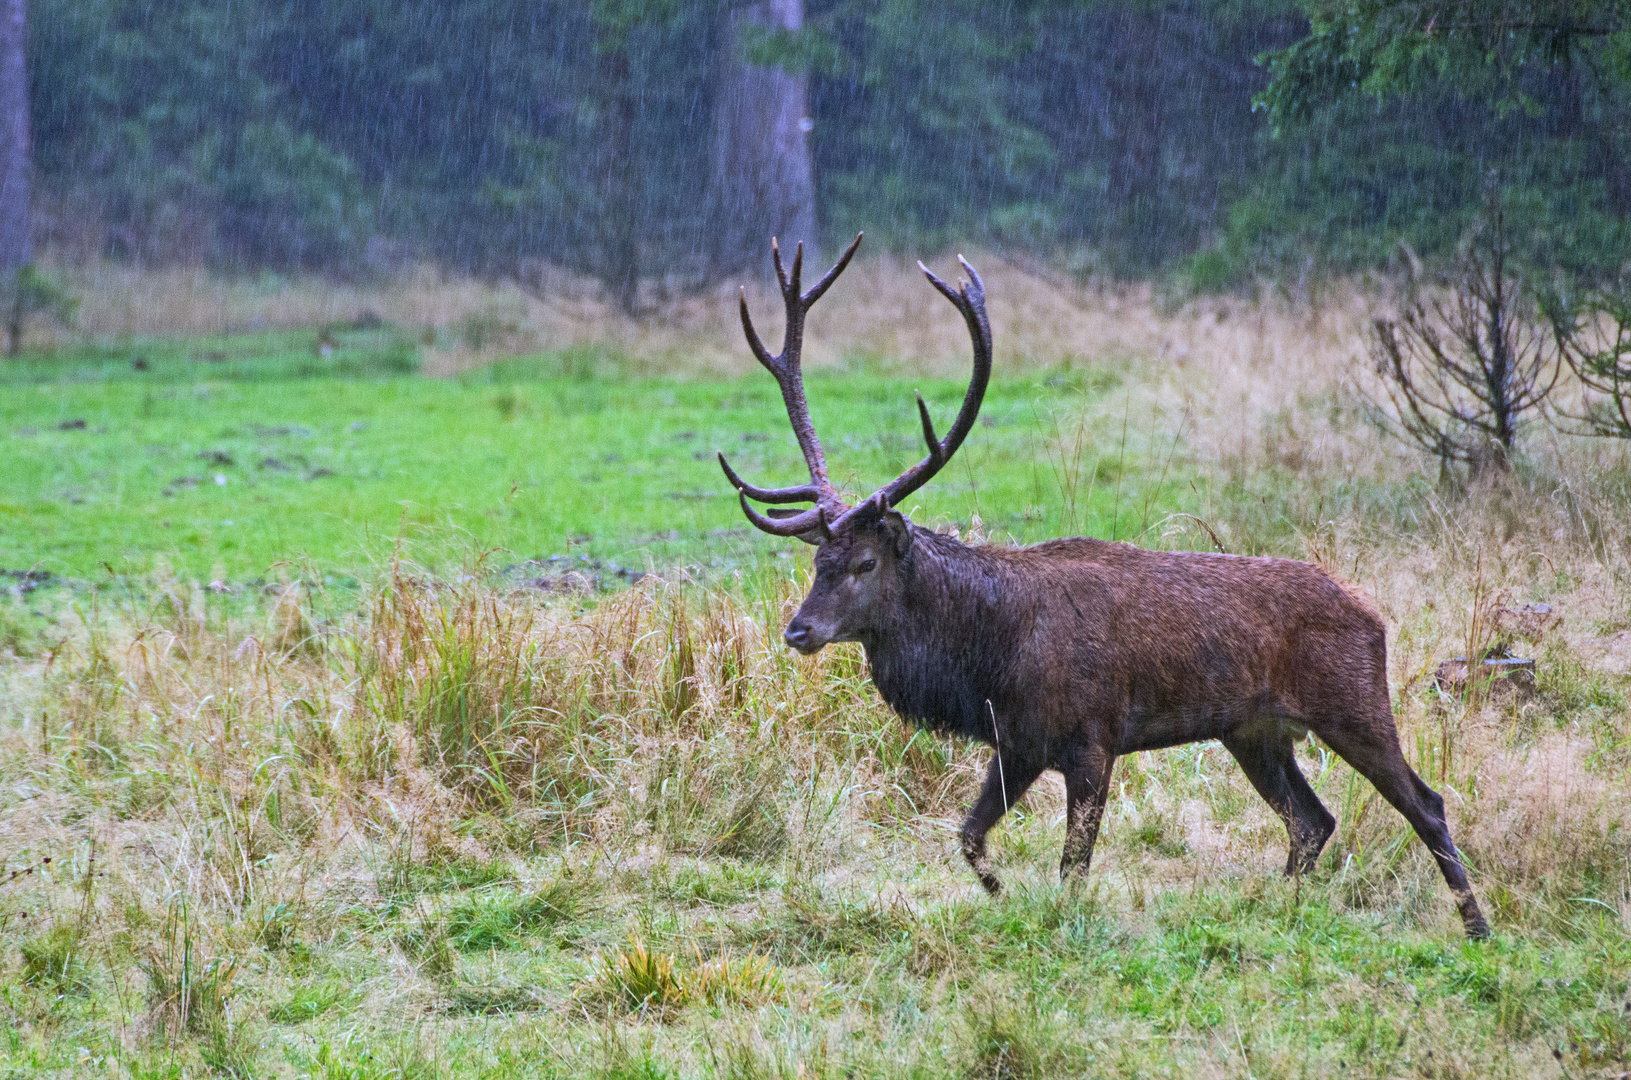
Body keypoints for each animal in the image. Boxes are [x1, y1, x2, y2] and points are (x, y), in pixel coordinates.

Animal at [720, 234, 1493, 939]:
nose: (798, 630)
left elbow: (1073, 865)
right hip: (1255, 731)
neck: (991, 658)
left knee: (1425, 802)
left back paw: (1476, 927)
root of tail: (1375, 614)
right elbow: (967, 835)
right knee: (1312, 820)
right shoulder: (1019, 742)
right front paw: (1000, 891)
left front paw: (1060, 921)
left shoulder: (1093, 736)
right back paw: (1275, 913)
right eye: (816, 563)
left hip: (1352, 704)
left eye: (864, 564)